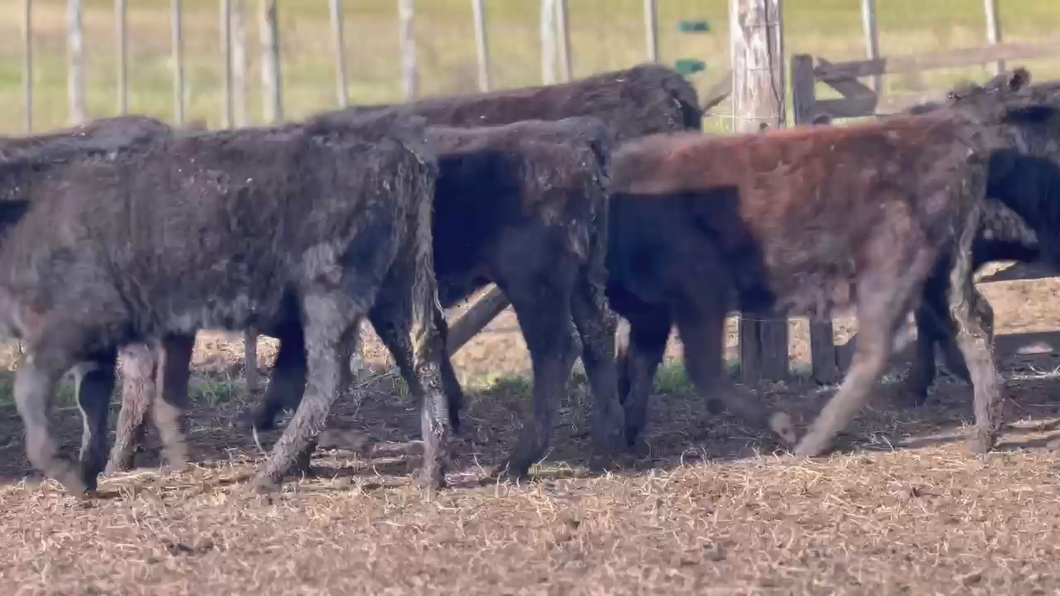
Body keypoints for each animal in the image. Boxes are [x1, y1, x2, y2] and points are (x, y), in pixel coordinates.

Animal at [0, 111, 447, 492]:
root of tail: (397, 153)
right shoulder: (100, 342)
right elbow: (93, 403)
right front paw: (90, 474)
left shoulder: (72, 326)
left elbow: (30, 389)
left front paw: (66, 472)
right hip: (395, 294)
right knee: (424, 362)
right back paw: (430, 476)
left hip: (328, 297)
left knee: (329, 379)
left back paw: (268, 477)